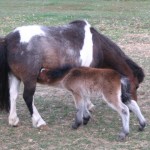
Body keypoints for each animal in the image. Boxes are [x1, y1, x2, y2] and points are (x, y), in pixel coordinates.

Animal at [0, 19, 144, 129]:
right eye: (136, 86)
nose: (132, 105)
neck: (96, 44)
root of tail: (9, 39)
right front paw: (87, 110)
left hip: (15, 76)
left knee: (13, 95)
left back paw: (13, 120)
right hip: (29, 78)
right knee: (28, 97)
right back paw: (38, 121)